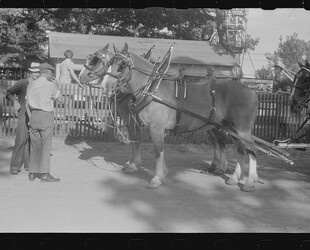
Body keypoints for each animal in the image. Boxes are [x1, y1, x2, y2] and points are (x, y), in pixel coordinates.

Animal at [80, 43, 260, 191]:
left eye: (122, 65)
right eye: (110, 63)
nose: (83, 78)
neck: (150, 89)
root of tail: (251, 91)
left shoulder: (153, 127)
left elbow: (156, 151)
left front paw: (155, 177)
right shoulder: (142, 125)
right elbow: (144, 146)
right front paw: (152, 171)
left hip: (242, 130)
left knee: (250, 151)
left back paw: (249, 182)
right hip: (231, 128)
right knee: (239, 150)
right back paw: (234, 178)